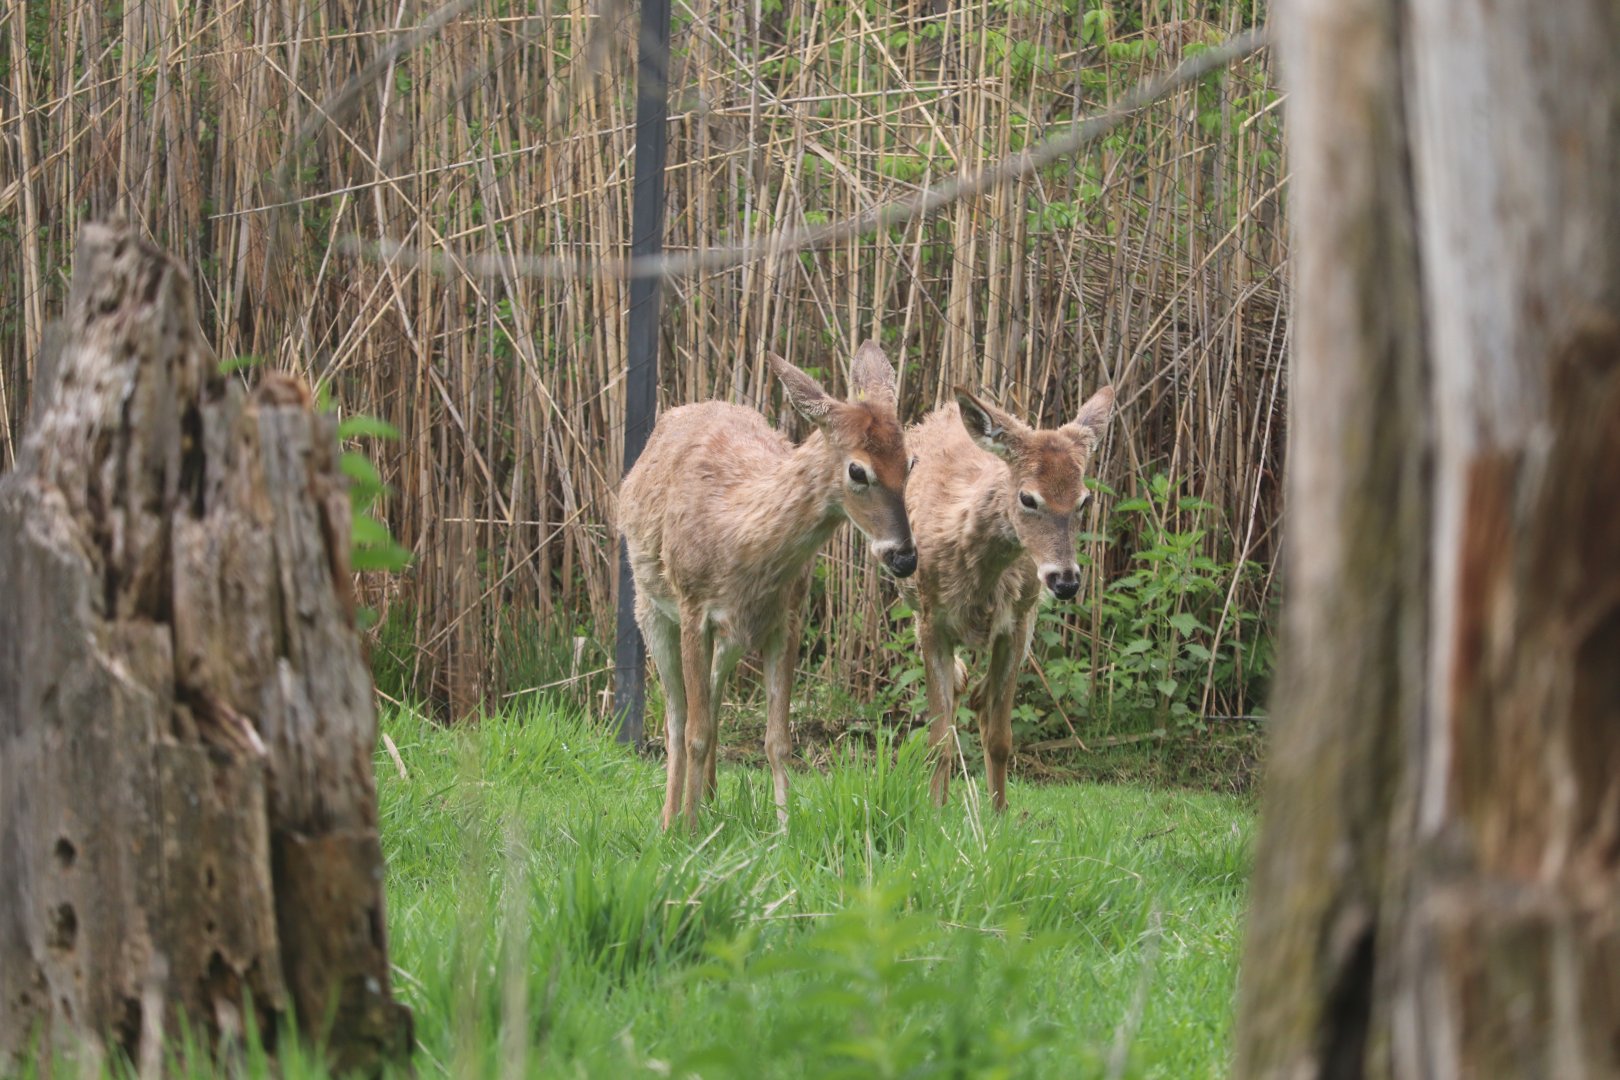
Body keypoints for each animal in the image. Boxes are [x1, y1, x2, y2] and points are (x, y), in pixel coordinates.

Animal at [618, 341, 917, 830]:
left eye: (911, 462)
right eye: (857, 471)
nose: (905, 557)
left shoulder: (786, 618)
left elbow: (778, 739)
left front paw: (783, 830)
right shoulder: (692, 607)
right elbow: (693, 731)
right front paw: (688, 830)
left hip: (734, 636)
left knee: (713, 700)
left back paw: (711, 797)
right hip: (649, 609)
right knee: (676, 718)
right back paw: (670, 816)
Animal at [902, 382, 1115, 812]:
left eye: (1084, 500)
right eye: (1028, 498)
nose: (1065, 581)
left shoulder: (1018, 622)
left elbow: (1000, 738)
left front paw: (1000, 815)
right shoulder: (931, 621)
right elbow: (938, 740)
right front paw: (934, 812)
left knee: (979, 700)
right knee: (956, 697)